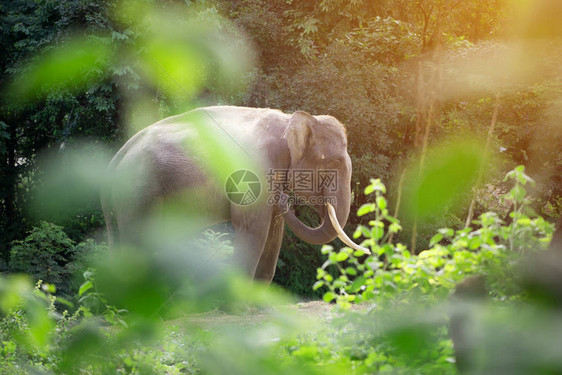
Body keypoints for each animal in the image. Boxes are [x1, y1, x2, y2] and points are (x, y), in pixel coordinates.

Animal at [101, 107, 368, 284]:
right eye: (332, 163)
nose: (285, 199)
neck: (288, 121)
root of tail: (118, 155)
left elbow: (274, 231)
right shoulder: (253, 171)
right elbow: (253, 229)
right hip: (138, 190)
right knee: (137, 238)